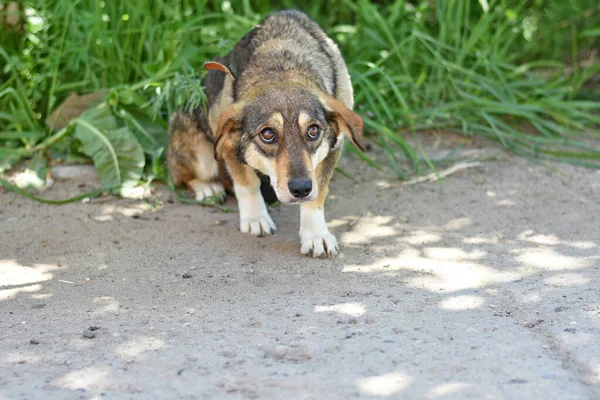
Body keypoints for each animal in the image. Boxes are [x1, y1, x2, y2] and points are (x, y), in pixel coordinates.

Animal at [169, 10, 366, 260]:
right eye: (268, 134)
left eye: (313, 131)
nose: (301, 189)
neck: (282, 66)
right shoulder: (228, 145)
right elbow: (247, 183)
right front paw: (255, 218)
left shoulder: (333, 151)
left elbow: (318, 194)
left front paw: (315, 235)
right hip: (200, 156)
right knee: (181, 175)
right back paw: (208, 188)